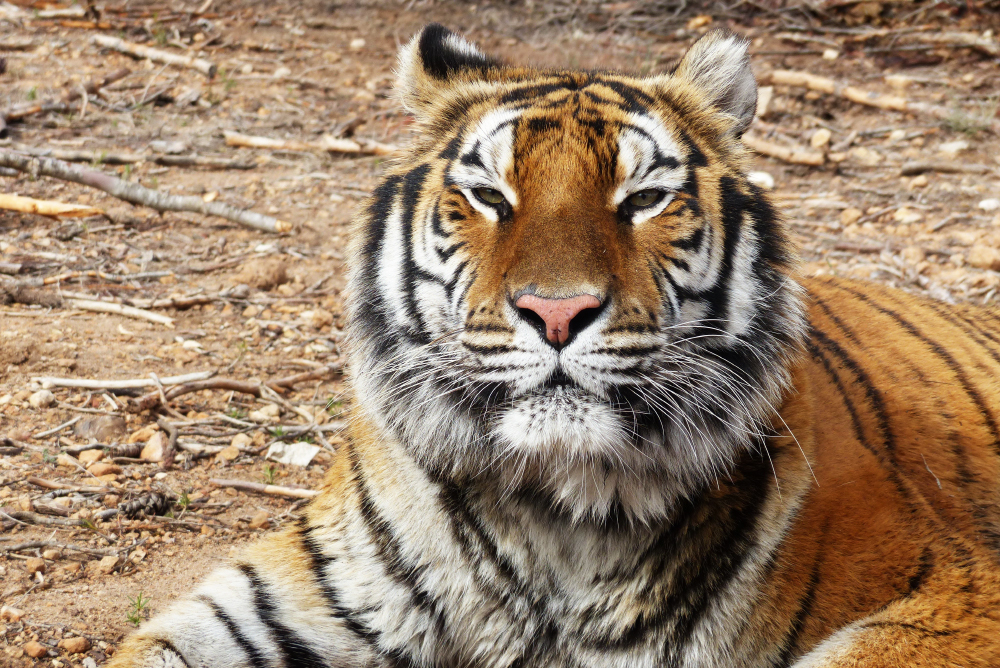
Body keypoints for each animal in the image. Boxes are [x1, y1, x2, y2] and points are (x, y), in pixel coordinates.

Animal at [106, 23, 1000, 668]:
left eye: (643, 199)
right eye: (488, 195)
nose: (558, 311)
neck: (557, 516)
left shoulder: (951, 595)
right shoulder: (289, 598)